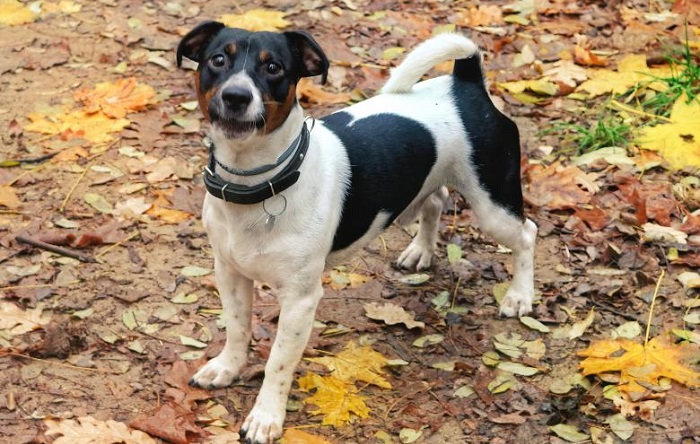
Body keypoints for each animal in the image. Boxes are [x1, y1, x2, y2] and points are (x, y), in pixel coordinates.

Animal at [178, 21, 540, 444]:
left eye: (274, 68)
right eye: (218, 60)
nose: (236, 96)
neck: (256, 183)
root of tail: (464, 83)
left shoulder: (300, 300)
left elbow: (278, 363)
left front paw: (266, 417)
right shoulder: (229, 273)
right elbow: (237, 328)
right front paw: (227, 367)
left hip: (492, 205)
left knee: (527, 233)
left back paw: (519, 296)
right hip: (423, 187)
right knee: (435, 201)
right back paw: (420, 251)